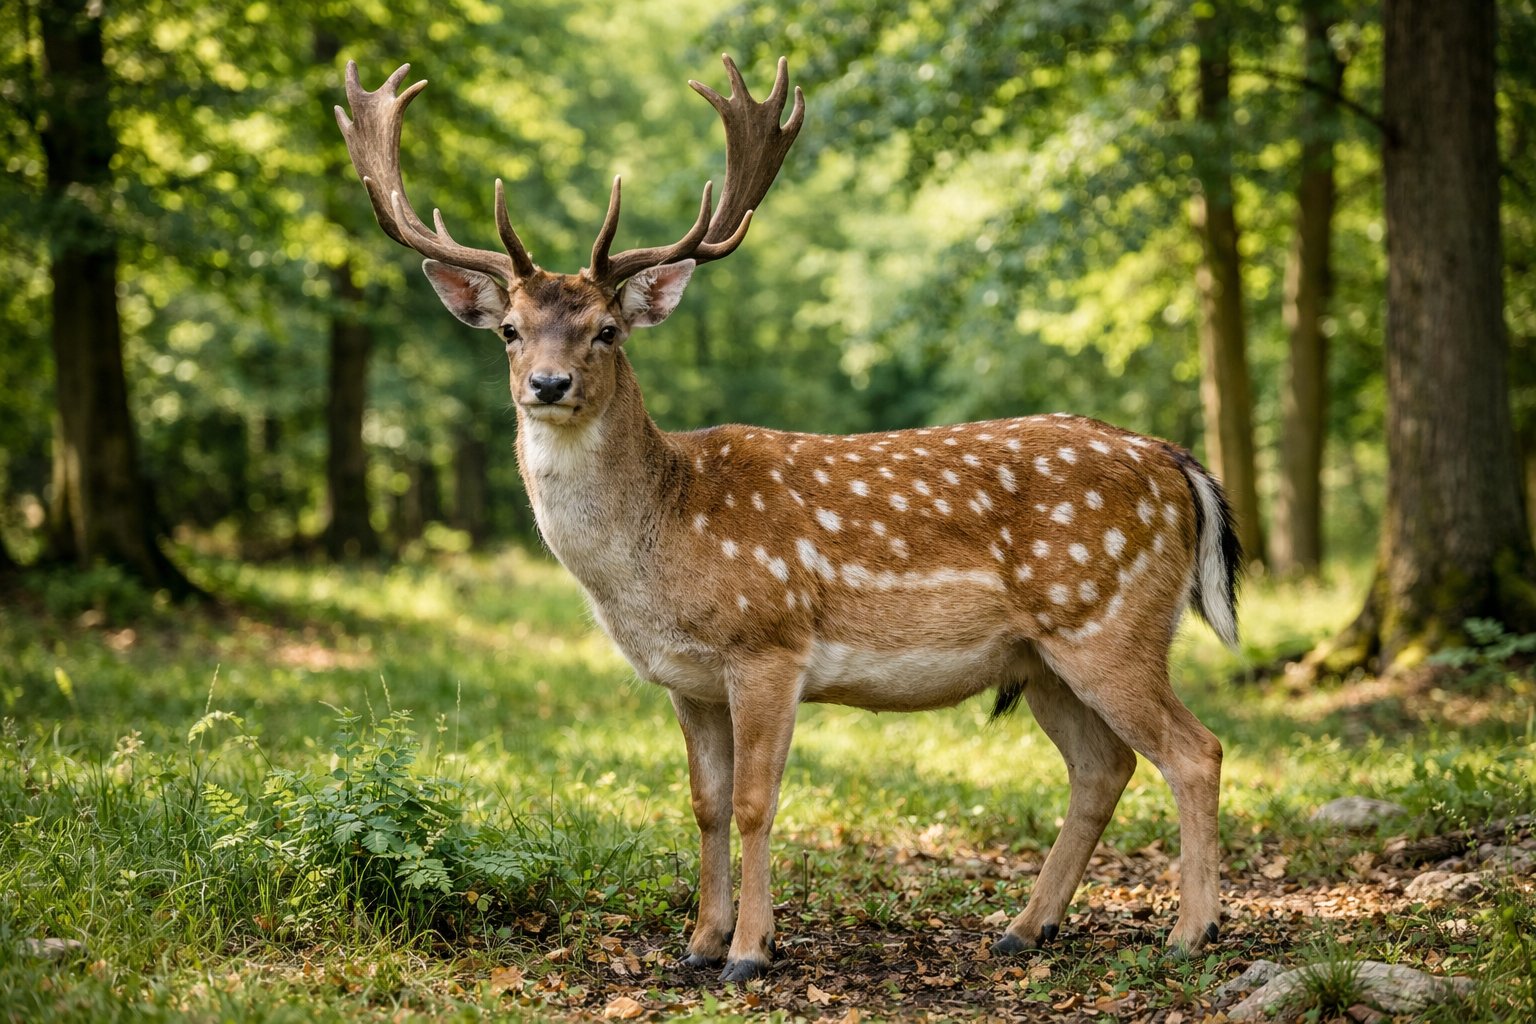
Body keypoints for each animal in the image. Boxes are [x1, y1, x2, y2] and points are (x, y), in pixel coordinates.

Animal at [336, 55, 1240, 983]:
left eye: (608, 330)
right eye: (511, 330)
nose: (548, 385)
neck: (660, 544)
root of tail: (1178, 465)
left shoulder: (768, 643)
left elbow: (755, 802)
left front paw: (750, 951)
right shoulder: (688, 679)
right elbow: (703, 803)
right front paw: (698, 943)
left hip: (1109, 621)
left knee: (1194, 750)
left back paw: (1190, 931)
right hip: (1041, 657)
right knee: (1105, 765)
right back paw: (1026, 928)